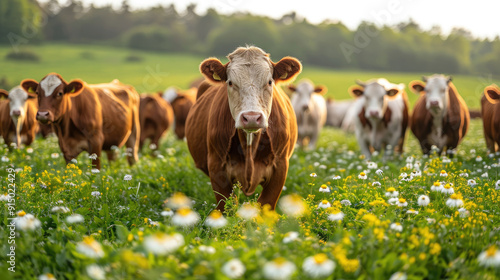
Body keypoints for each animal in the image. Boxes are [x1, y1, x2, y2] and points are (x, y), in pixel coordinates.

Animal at [185, 46, 298, 212]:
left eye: (269, 82)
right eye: (230, 83)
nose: (251, 117)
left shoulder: (280, 166)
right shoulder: (216, 167)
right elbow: (226, 207)